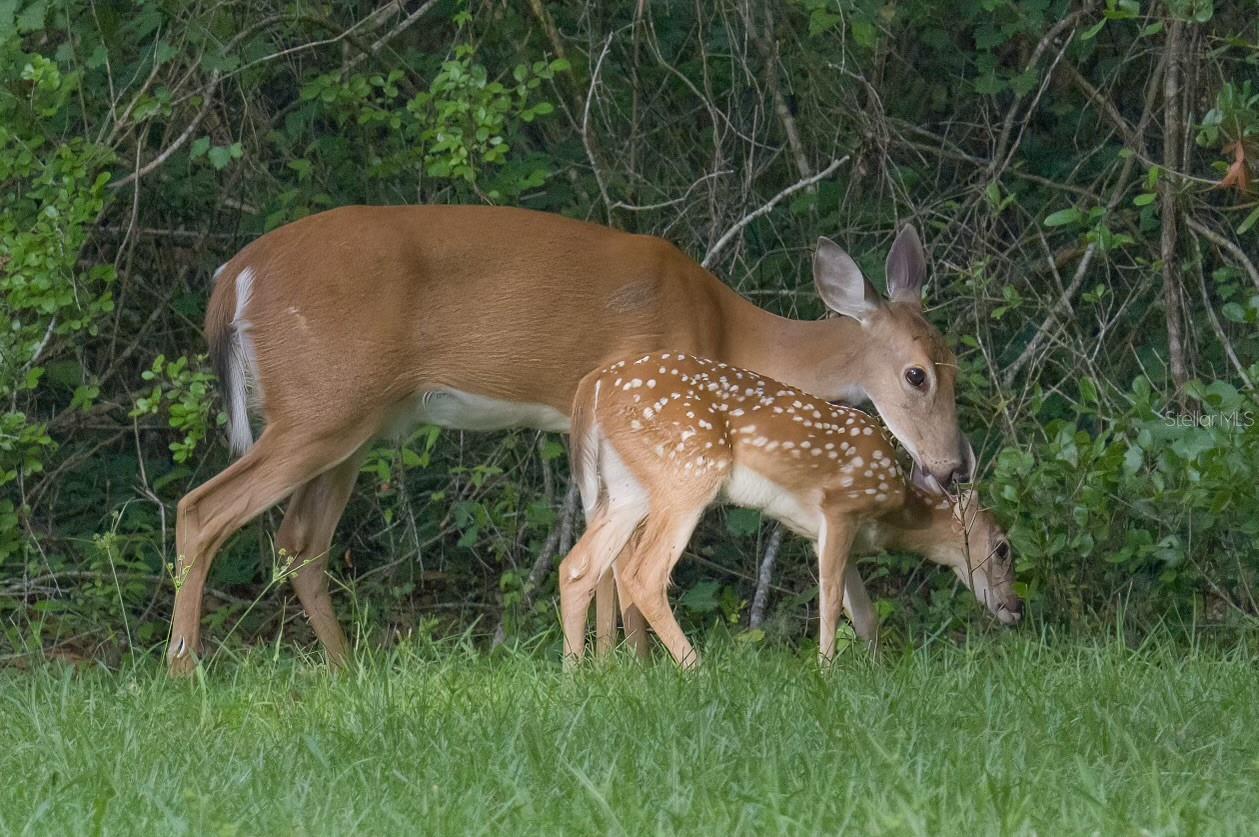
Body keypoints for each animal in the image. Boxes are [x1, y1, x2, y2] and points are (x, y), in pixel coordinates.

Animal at [172, 203, 966, 674]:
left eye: (955, 361)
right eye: (917, 374)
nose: (954, 467)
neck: (724, 329)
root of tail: (230, 279)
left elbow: (603, 558)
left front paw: (607, 665)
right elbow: (625, 566)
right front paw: (634, 667)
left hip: (354, 425)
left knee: (299, 540)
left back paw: (348, 669)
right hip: (320, 409)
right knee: (202, 509)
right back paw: (184, 668)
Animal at [564, 347, 1022, 664]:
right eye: (1003, 548)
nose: (1016, 608)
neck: (897, 512)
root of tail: (593, 385)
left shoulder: (832, 535)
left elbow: (865, 615)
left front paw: (876, 674)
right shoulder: (841, 506)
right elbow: (831, 603)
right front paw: (826, 673)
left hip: (626, 489)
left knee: (577, 567)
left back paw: (574, 680)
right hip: (690, 470)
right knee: (644, 574)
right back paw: (698, 670)